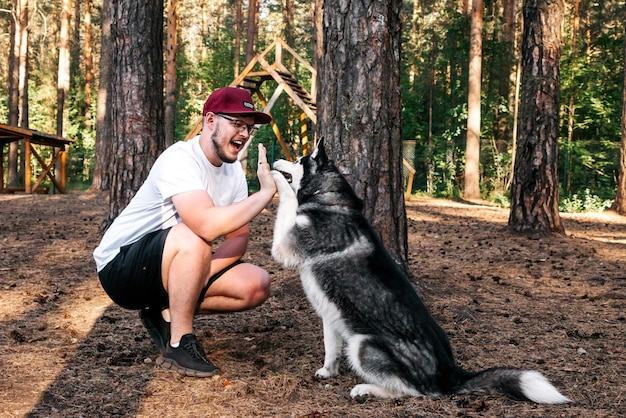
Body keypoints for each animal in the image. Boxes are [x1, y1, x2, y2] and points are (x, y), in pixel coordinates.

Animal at [270, 142, 572, 404]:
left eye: (298, 161)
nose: (276, 160)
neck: (326, 198)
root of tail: (451, 373)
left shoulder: (285, 245)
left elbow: (287, 199)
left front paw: (272, 176)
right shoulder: (331, 315)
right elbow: (330, 348)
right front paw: (327, 371)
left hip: (362, 344)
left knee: (412, 391)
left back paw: (367, 389)